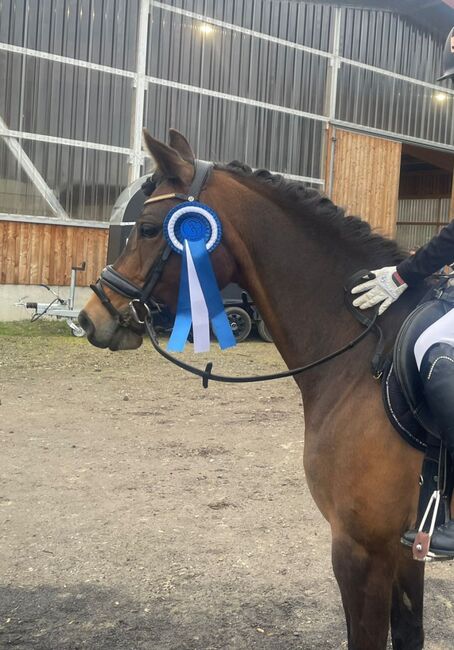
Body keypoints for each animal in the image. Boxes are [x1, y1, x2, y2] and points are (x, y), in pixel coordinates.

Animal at [79, 128, 444, 648]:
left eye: (148, 228)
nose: (92, 317)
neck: (363, 353)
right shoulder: (403, 549)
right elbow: (409, 632)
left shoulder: (361, 549)